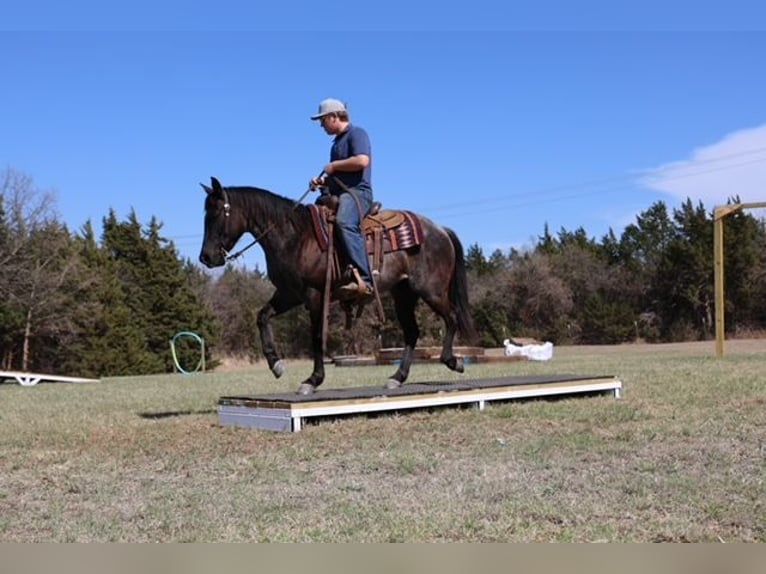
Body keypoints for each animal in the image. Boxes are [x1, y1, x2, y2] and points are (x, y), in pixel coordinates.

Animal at [198, 176, 477, 395]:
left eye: (216, 214)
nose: (206, 257)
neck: (294, 236)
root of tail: (440, 230)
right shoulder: (289, 294)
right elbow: (262, 316)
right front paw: (276, 365)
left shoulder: (314, 295)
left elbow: (316, 337)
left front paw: (312, 380)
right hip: (403, 294)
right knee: (412, 332)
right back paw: (397, 378)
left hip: (431, 290)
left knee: (451, 318)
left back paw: (453, 361)